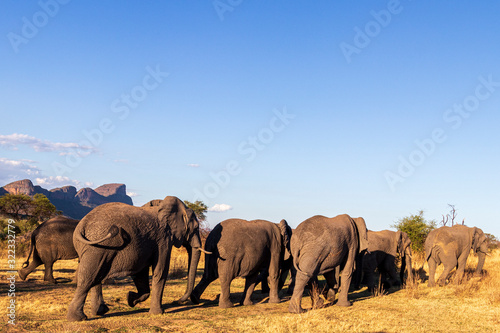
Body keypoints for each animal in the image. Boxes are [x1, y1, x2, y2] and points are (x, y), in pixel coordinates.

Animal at [66, 195, 207, 320]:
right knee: (89, 277)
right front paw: (158, 313)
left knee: (96, 275)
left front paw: (130, 299)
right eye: (196, 228)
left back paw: (100, 312)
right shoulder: (163, 239)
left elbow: (141, 274)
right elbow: (160, 271)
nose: (176, 301)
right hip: (98, 247)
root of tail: (82, 225)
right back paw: (78, 318)